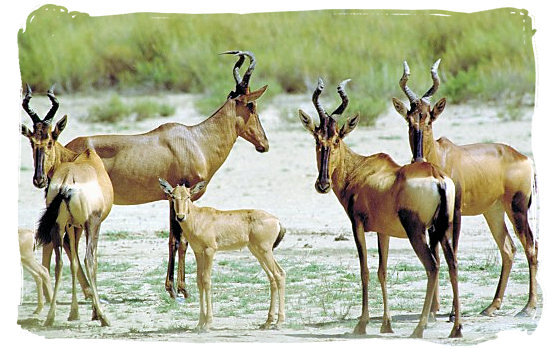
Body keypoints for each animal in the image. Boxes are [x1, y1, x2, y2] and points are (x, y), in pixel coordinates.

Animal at [21, 87, 114, 326]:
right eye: (32, 142)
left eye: (49, 141)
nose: (39, 180)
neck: (85, 159)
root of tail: (66, 183)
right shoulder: (90, 224)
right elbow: (88, 261)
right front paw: (93, 312)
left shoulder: (72, 226)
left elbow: (71, 262)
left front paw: (74, 313)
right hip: (90, 224)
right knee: (89, 260)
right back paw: (104, 317)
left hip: (59, 226)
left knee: (59, 263)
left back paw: (51, 316)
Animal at [27, 50, 270, 298]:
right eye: (252, 105)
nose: (264, 144)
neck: (195, 140)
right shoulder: (181, 196)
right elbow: (180, 241)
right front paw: (180, 290)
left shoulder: (172, 199)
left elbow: (174, 240)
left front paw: (172, 287)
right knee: (68, 243)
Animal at [160, 178, 286, 330]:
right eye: (173, 196)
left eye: (188, 196)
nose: (180, 217)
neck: (199, 218)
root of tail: (277, 220)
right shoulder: (198, 252)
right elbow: (199, 281)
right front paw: (200, 323)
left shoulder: (210, 250)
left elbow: (206, 280)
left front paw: (208, 323)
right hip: (258, 252)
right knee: (273, 277)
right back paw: (267, 322)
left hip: (265, 251)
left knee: (279, 275)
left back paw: (279, 322)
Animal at [300, 78, 464, 338]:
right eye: (317, 140)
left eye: (336, 140)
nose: (322, 184)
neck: (361, 169)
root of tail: (437, 177)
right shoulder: (383, 231)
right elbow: (382, 271)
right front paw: (386, 324)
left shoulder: (357, 225)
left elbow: (365, 270)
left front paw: (361, 324)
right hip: (441, 228)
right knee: (453, 263)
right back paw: (456, 328)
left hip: (416, 231)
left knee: (432, 266)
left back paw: (419, 328)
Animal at [392, 59, 540, 316]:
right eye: (409, 121)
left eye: (429, 120)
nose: (418, 159)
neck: (442, 156)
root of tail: (524, 158)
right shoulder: (434, 218)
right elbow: (436, 254)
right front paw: (434, 309)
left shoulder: (457, 212)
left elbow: (454, 251)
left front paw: (452, 311)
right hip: (493, 211)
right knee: (508, 249)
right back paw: (492, 306)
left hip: (518, 208)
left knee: (531, 246)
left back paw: (528, 306)